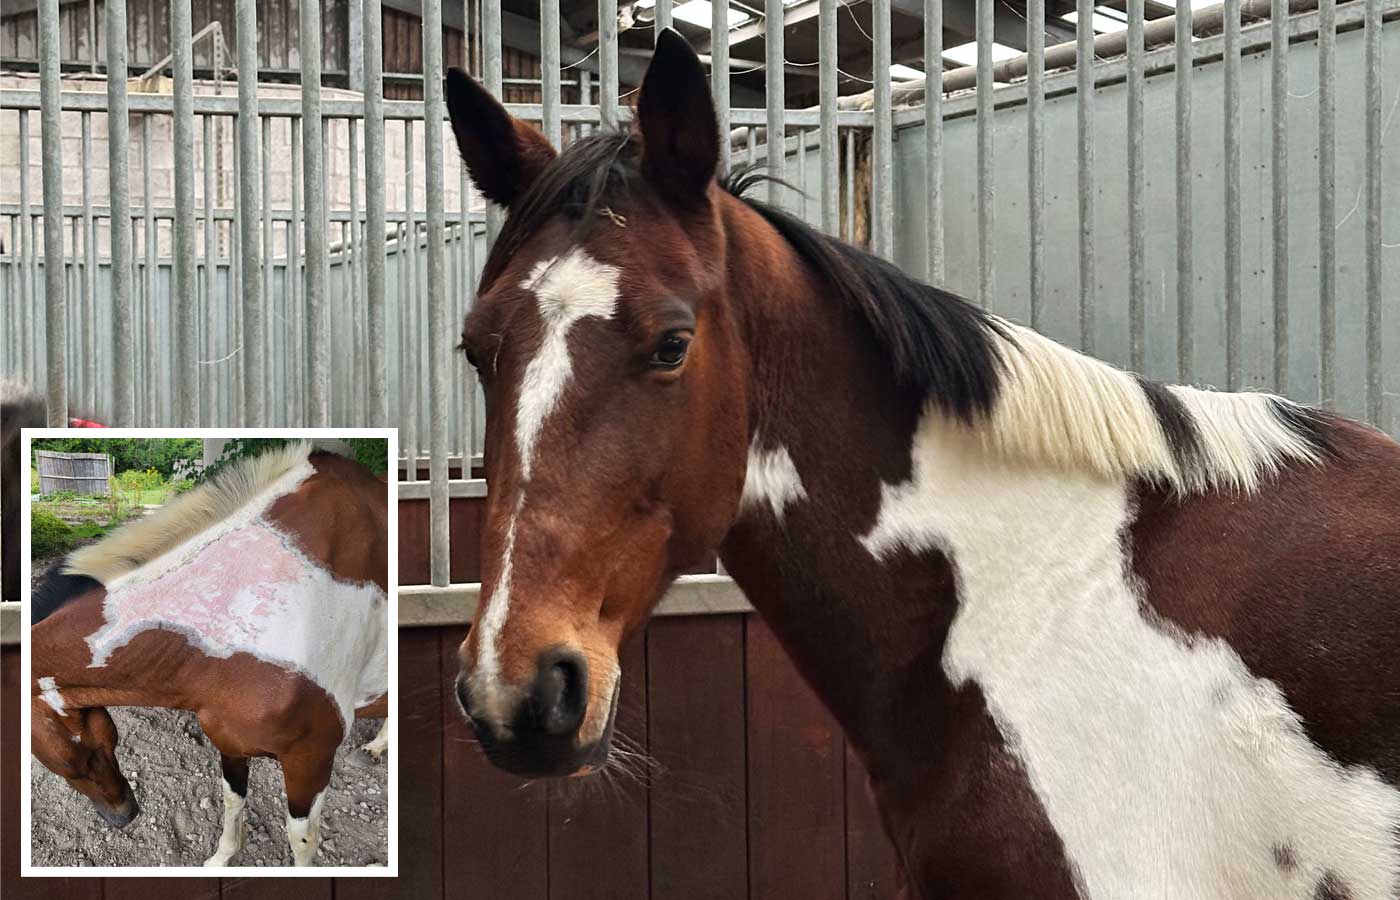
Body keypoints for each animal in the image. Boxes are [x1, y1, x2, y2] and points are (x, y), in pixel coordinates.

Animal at [29, 440, 390, 867]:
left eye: (68, 762)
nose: (123, 816)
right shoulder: (230, 742)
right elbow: (233, 801)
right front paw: (222, 858)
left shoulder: (311, 760)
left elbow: (302, 841)